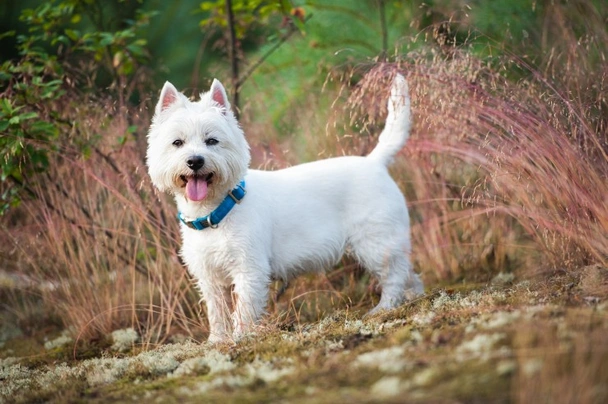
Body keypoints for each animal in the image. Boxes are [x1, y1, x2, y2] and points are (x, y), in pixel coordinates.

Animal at [147, 73, 422, 340]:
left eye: (212, 140)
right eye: (177, 142)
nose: (195, 161)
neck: (215, 212)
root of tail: (375, 162)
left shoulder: (249, 268)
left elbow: (244, 309)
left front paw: (240, 338)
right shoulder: (210, 277)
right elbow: (218, 313)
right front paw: (217, 341)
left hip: (376, 242)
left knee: (394, 275)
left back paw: (383, 308)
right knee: (410, 274)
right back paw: (415, 298)